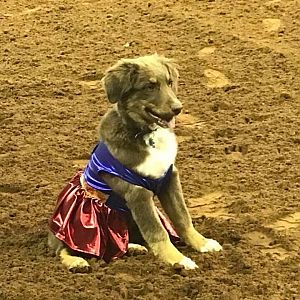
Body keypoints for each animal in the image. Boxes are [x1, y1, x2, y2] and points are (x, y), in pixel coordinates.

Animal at [48, 54, 223, 272]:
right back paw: (77, 262)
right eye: (149, 86)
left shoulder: (169, 179)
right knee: (62, 250)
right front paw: (179, 260)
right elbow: (157, 231)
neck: (146, 135)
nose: (178, 108)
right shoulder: (138, 193)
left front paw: (203, 243)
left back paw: (133, 247)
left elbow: (182, 217)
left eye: (169, 82)